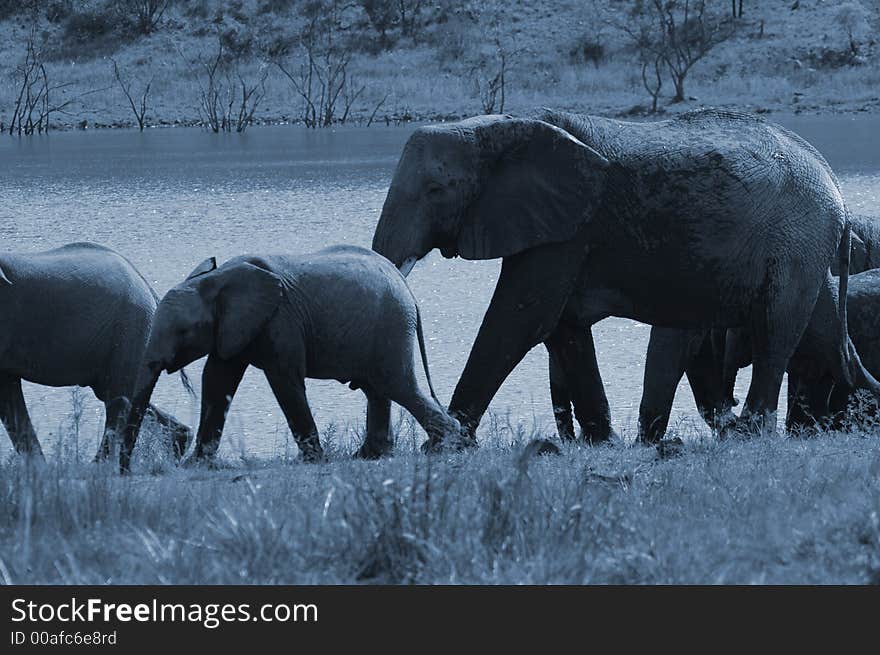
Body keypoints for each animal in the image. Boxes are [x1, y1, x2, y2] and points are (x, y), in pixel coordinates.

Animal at [0, 243, 192, 464]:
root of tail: (147, 286)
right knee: (121, 396)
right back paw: (179, 446)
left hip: (130, 329)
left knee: (118, 399)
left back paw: (97, 465)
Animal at [121, 246, 464, 472]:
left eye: (183, 331)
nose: (123, 471)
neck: (217, 279)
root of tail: (408, 291)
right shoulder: (233, 327)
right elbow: (217, 381)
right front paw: (197, 465)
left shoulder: (280, 320)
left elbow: (284, 380)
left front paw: (313, 461)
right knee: (378, 390)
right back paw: (369, 456)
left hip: (391, 327)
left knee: (398, 385)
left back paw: (448, 447)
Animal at [372, 110, 880, 454]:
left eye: (436, 190)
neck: (506, 126)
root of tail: (834, 183)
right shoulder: (559, 230)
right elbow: (562, 328)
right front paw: (603, 444)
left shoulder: (569, 230)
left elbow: (520, 320)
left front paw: (444, 446)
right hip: (805, 248)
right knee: (819, 330)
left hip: (798, 238)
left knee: (776, 328)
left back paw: (749, 433)